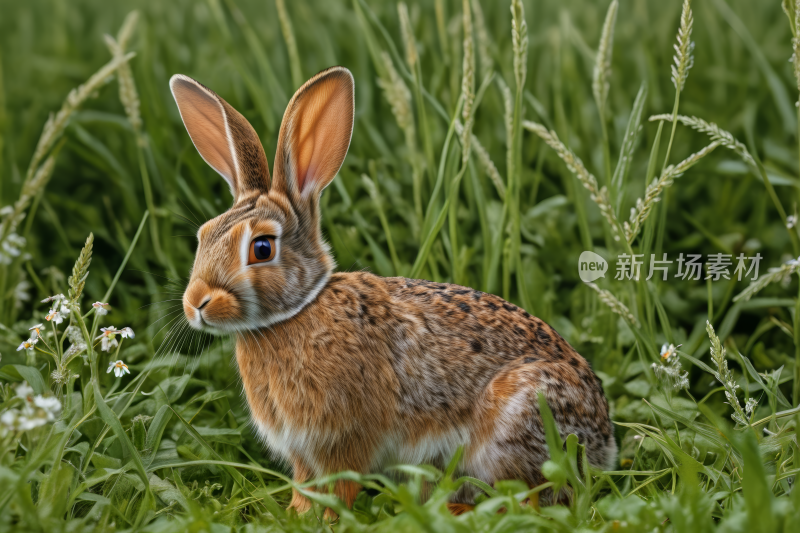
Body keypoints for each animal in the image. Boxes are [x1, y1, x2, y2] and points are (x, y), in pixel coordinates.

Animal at [172, 65, 616, 516]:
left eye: (261, 248)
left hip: (519, 417)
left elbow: (341, 484)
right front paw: (295, 513)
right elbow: (304, 483)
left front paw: (326, 517)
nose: (196, 304)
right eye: (204, 234)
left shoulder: (345, 438)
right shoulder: (304, 451)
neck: (296, 313)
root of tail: (603, 442)